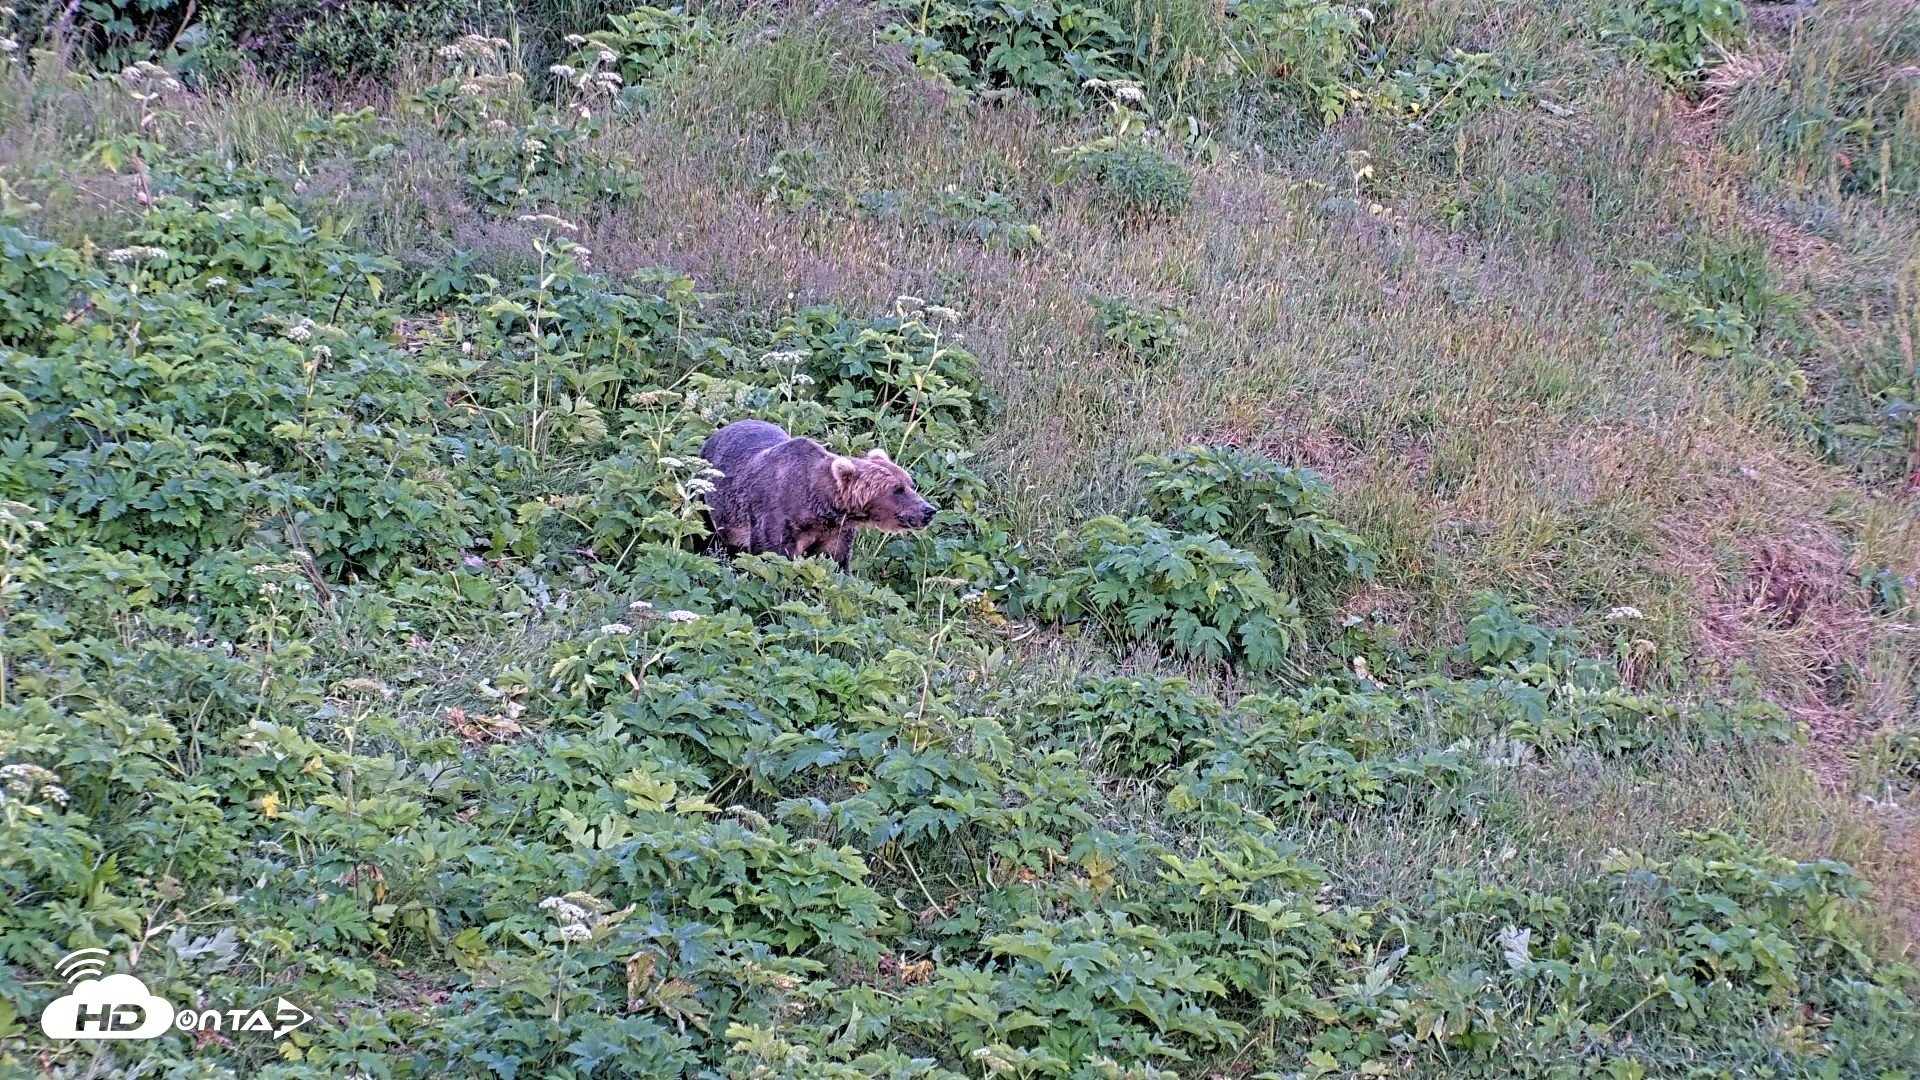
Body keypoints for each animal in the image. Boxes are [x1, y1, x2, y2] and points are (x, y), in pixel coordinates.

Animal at [698, 419, 937, 571]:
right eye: (897, 490)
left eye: (911, 484)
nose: (929, 511)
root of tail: (717, 433)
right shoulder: (776, 516)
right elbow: (772, 557)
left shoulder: (836, 531)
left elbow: (834, 562)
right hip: (706, 498)